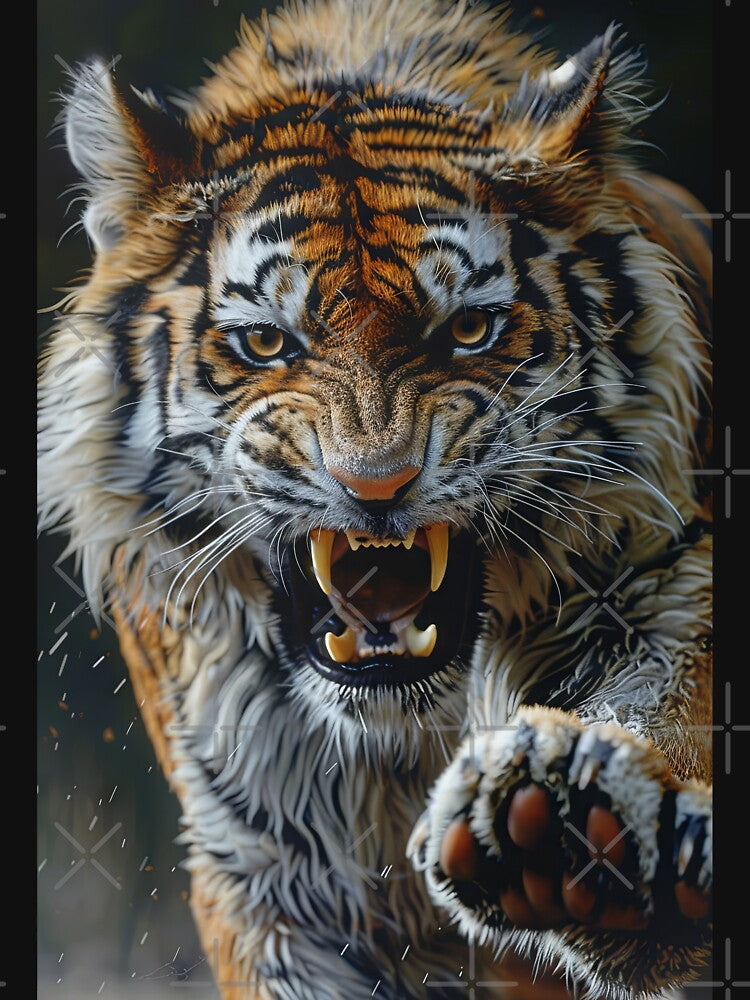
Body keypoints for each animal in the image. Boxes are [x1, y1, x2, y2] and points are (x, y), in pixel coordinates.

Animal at [38, 1, 713, 997]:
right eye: (266, 343)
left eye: (468, 330)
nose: (376, 485)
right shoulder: (269, 886)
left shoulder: (658, 575)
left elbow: (670, 704)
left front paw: (563, 822)